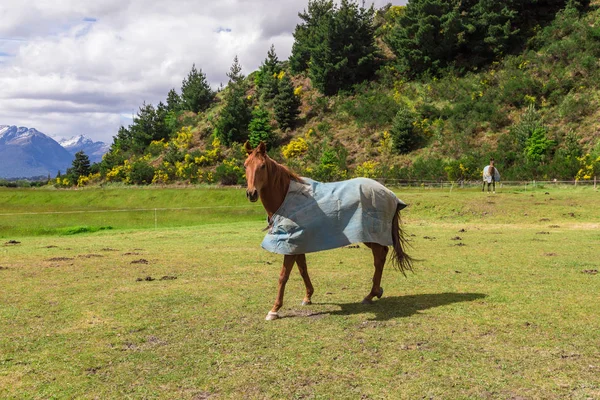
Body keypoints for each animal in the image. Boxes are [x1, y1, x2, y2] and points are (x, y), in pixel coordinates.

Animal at [244, 142, 412, 320]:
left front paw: (274, 310)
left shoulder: (289, 244)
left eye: (262, 166)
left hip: (370, 235)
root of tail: (389, 194)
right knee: (381, 255)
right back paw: (375, 292)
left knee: (379, 258)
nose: (251, 193)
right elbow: (303, 269)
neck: (287, 198)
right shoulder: (298, 244)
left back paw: (371, 294)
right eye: (245, 165)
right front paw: (308, 297)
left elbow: (283, 276)